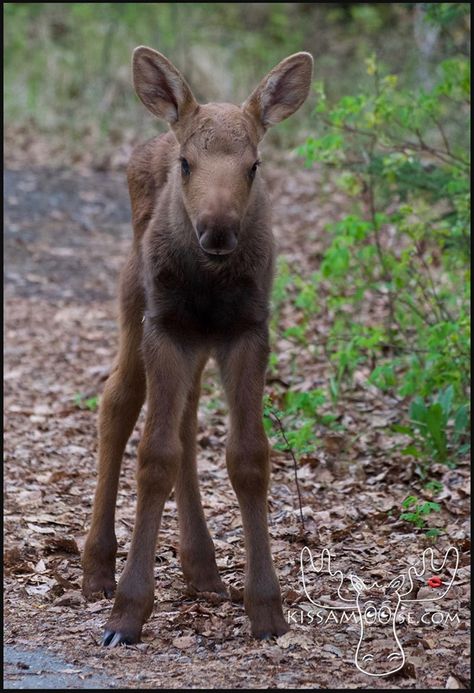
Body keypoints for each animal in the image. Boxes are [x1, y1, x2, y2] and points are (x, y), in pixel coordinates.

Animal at [83, 47, 312, 644]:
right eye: (187, 164)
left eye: (253, 166)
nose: (217, 230)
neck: (209, 283)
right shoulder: (165, 327)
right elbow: (154, 456)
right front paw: (128, 612)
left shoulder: (248, 331)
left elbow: (248, 456)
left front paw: (267, 608)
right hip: (134, 307)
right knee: (117, 402)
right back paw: (96, 568)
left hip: (197, 344)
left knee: (185, 422)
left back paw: (202, 568)